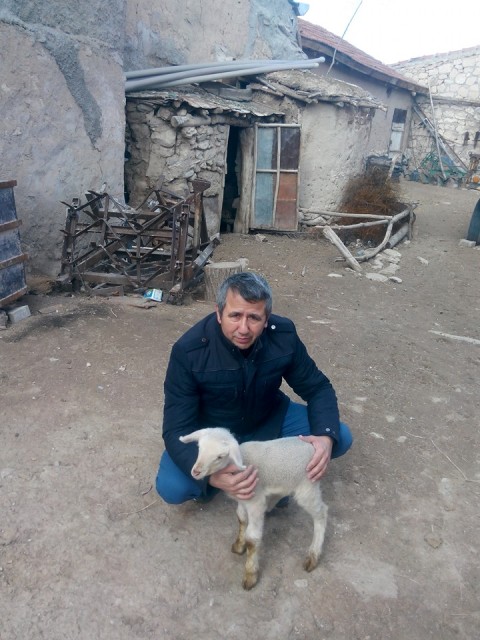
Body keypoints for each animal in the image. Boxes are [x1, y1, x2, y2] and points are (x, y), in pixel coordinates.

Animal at [179, 427, 328, 590]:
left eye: (219, 457)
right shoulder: (243, 497)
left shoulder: (255, 501)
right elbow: (241, 518)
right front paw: (239, 545)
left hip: (307, 487)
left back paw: (313, 555)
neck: (240, 463)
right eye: (199, 447)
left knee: (322, 513)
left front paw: (250, 574)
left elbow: (252, 538)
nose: (196, 472)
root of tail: (311, 446)